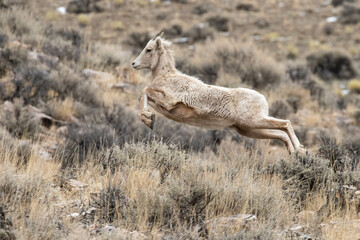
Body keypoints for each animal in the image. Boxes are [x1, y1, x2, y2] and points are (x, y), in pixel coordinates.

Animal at [131, 31, 306, 154]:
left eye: (149, 50)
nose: (134, 64)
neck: (166, 75)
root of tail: (263, 99)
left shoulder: (167, 101)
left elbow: (144, 91)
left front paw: (148, 120)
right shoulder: (160, 104)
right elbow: (144, 95)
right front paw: (149, 119)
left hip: (255, 122)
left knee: (285, 123)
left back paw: (300, 150)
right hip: (250, 129)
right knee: (281, 134)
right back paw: (297, 153)